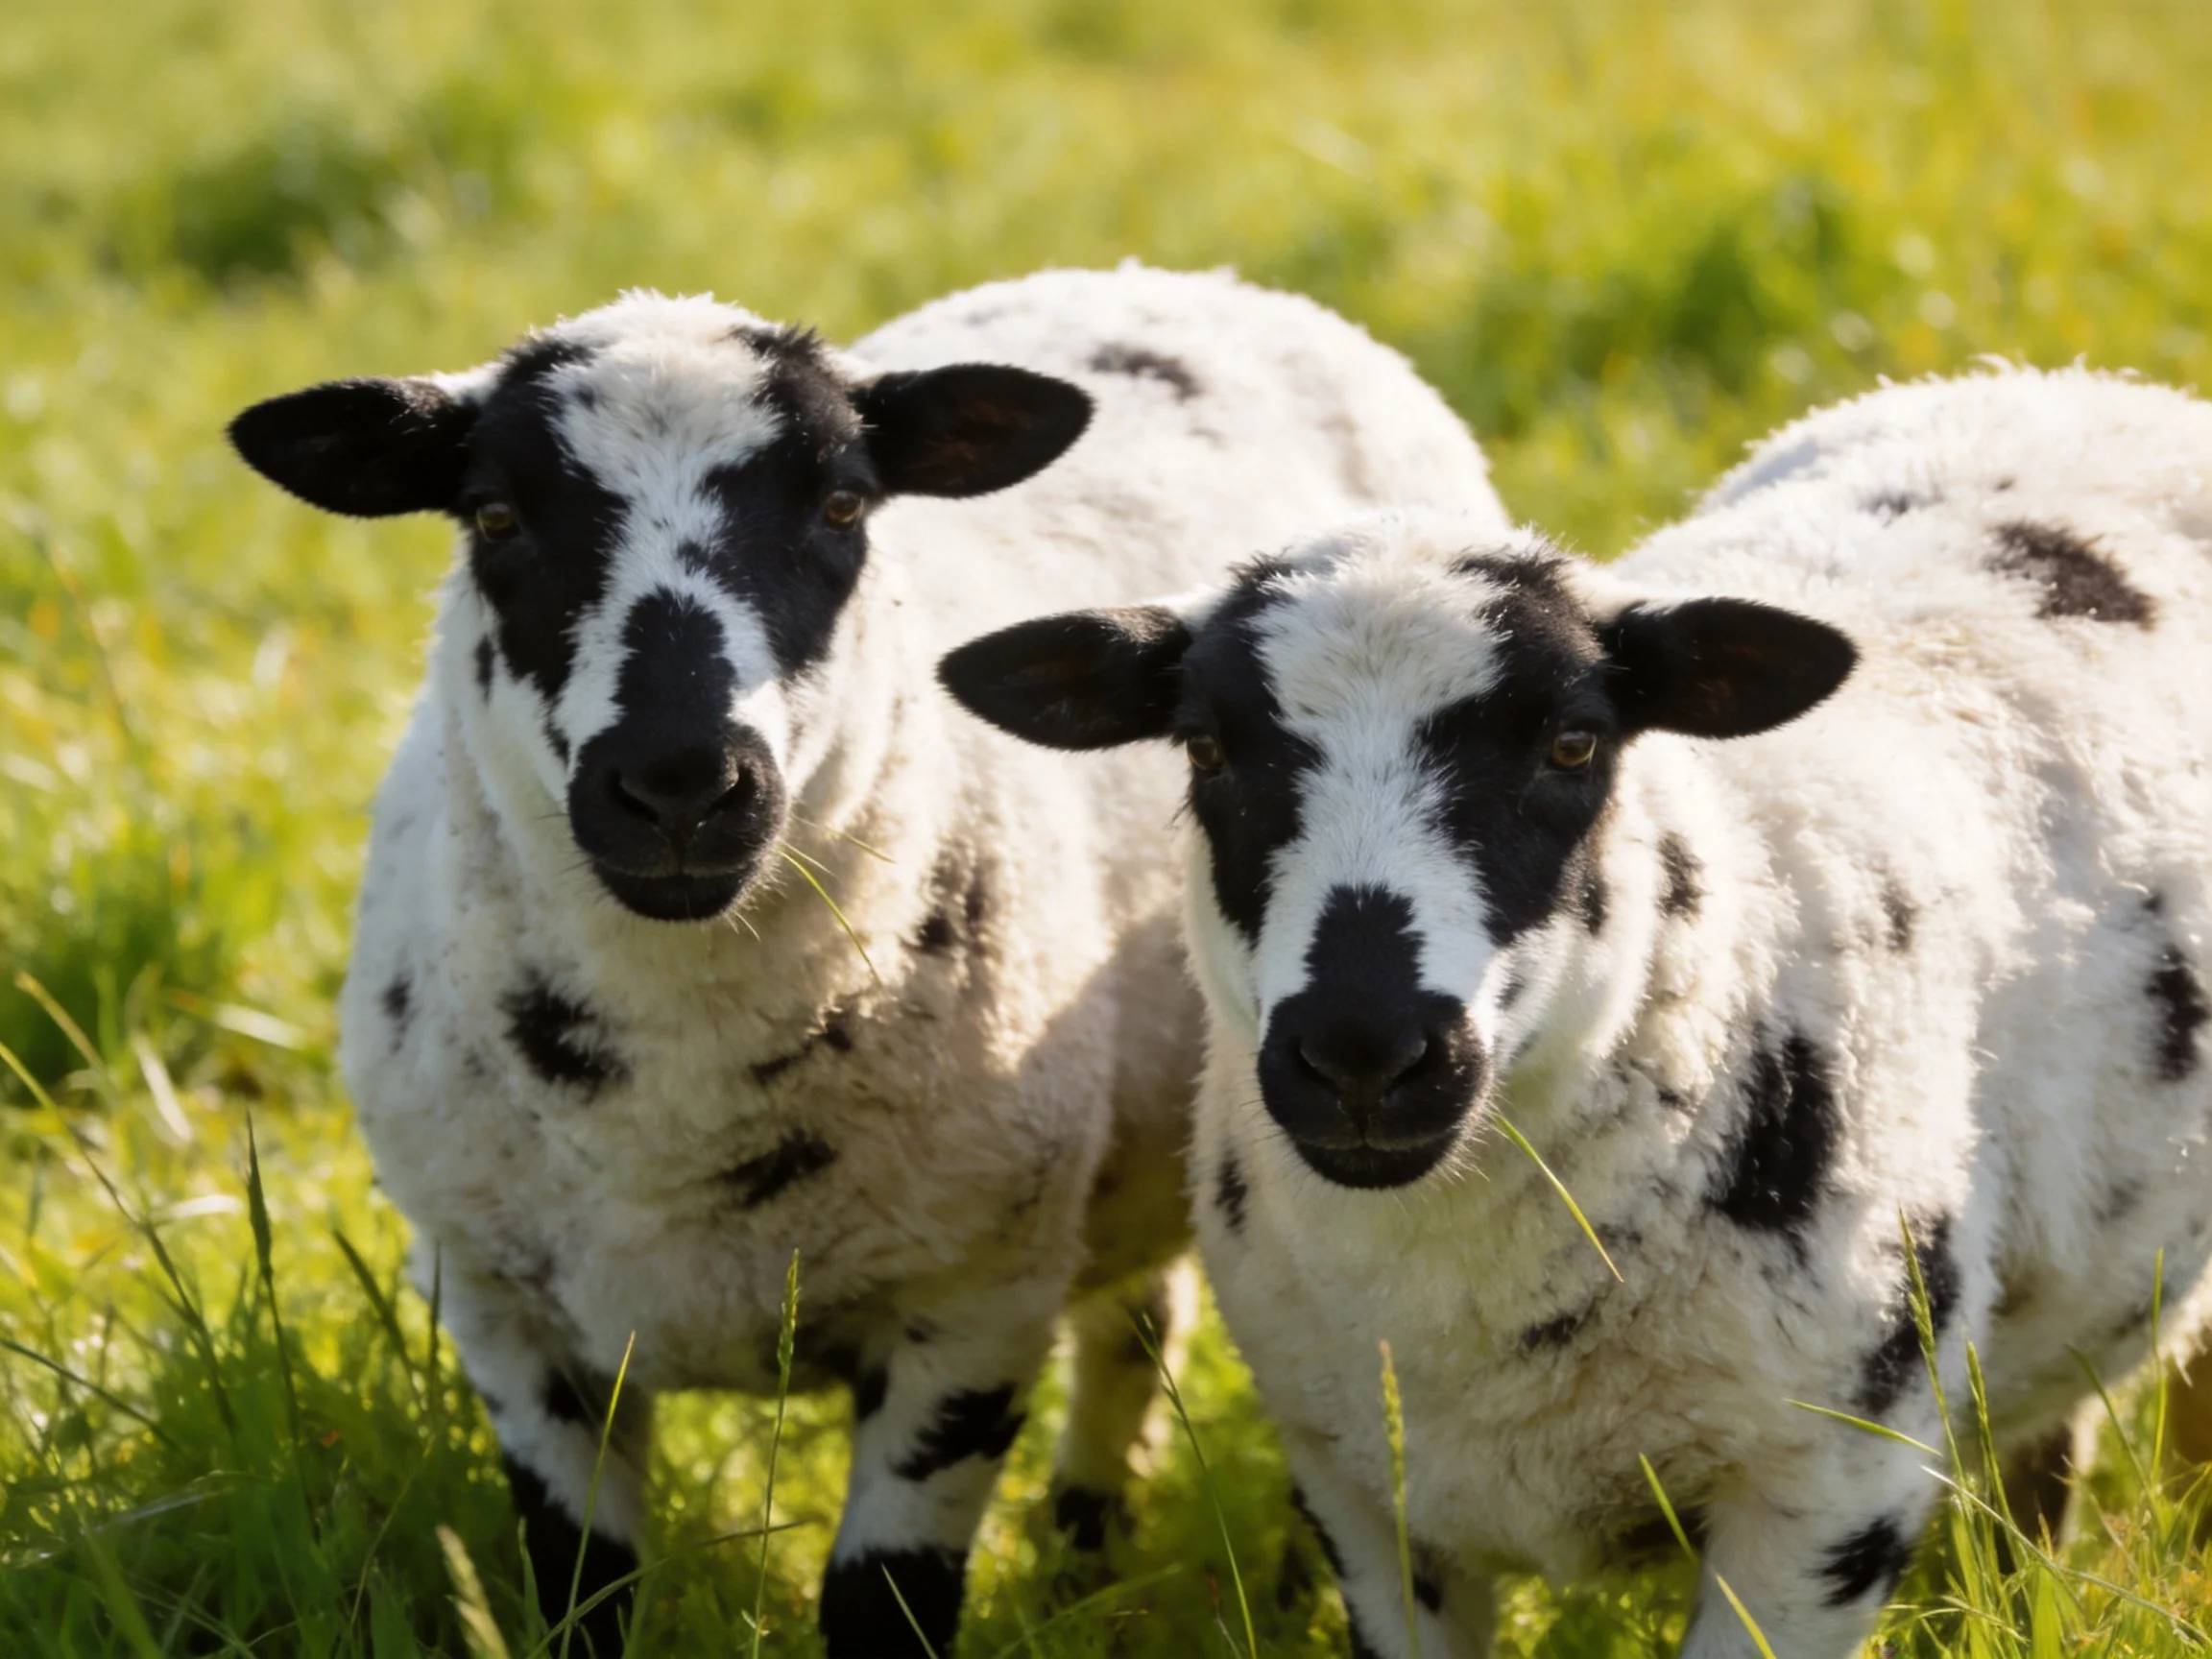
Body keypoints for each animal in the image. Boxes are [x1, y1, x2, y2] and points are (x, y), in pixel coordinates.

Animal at [226, 264, 1508, 1658]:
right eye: (496, 516)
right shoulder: (503, 1316)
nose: (680, 783)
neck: (672, 1099)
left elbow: (885, 1603)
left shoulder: (970, 1305)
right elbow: (582, 1593)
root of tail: (1180, 280)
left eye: (843, 502)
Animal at [937, 365, 2212, 1659]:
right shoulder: (1365, 1500)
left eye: (1572, 742)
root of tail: (2082, 384)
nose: (1363, 1055)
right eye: (1203, 748)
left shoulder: (1828, 1495)